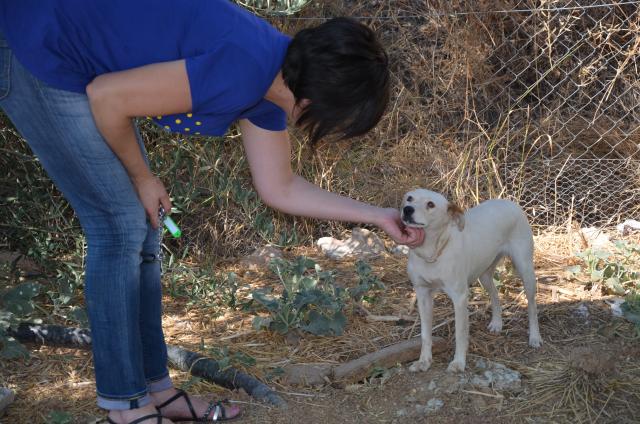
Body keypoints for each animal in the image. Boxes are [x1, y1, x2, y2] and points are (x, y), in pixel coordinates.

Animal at [401, 189, 542, 373]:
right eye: (409, 198)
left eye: (430, 204)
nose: (407, 210)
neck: (431, 253)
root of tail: (508, 201)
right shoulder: (422, 294)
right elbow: (425, 335)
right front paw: (424, 361)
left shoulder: (460, 297)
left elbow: (460, 334)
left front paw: (458, 362)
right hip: (484, 275)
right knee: (495, 296)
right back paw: (497, 323)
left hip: (525, 269)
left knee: (532, 306)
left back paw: (535, 337)